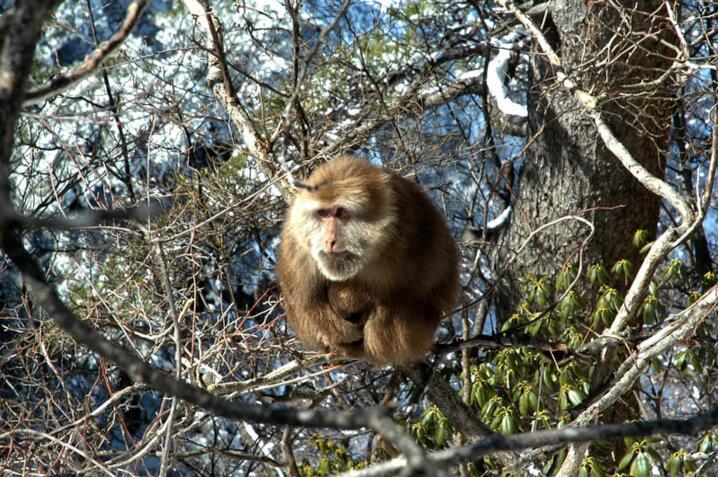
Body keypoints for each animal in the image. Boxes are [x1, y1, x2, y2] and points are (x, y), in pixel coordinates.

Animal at [278, 155, 462, 364]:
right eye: (323, 213)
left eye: (341, 212)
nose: (329, 240)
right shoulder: (297, 244)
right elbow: (305, 301)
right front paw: (339, 332)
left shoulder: (408, 229)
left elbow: (414, 290)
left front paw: (351, 297)